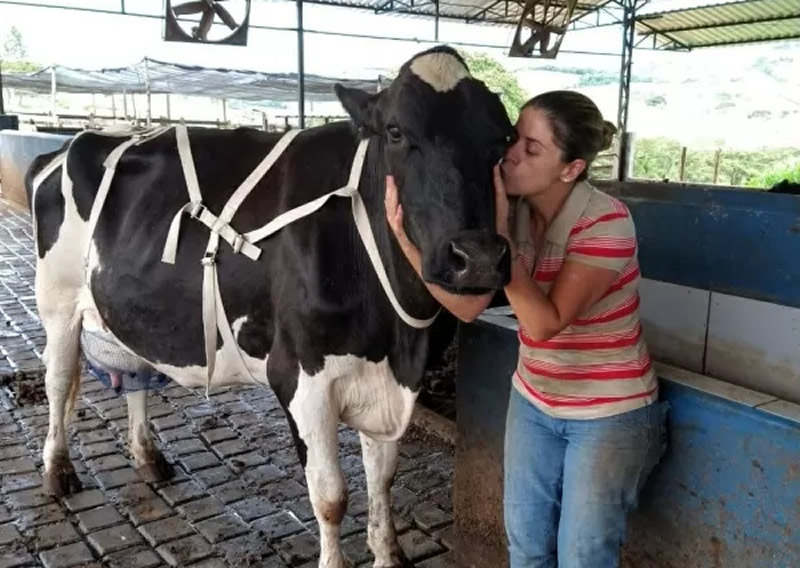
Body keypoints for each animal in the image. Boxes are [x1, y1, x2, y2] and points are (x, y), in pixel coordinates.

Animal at [28, 45, 516, 568]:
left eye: (503, 138)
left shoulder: (386, 377)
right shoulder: (301, 377)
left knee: (136, 373)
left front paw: (388, 553)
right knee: (57, 380)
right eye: (396, 131)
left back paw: (148, 457)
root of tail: (71, 143)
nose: (477, 258)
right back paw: (57, 470)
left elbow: (382, 476)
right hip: (56, 301)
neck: (399, 338)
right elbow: (331, 496)